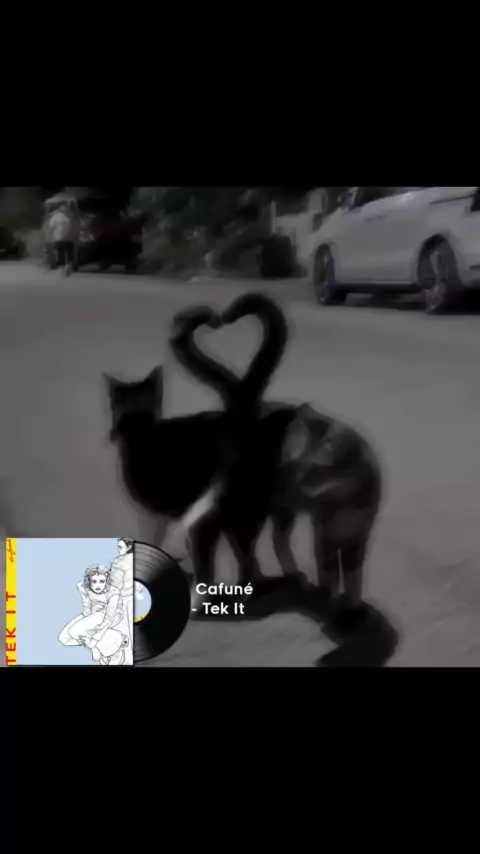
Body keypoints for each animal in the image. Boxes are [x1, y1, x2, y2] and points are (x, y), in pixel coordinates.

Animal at [169, 295, 382, 611]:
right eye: (297, 467)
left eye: (315, 471)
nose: (292, 479)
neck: (344, 505)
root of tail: (244, 407)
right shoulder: (324, 534)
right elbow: (329, 569)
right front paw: (333, 601)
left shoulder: (358, 536)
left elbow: (354, 573)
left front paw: (352, 603)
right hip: (250, 496)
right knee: (213, 529)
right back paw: (215, 592)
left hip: (271, 508)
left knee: (254, 539)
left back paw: (279, 579)